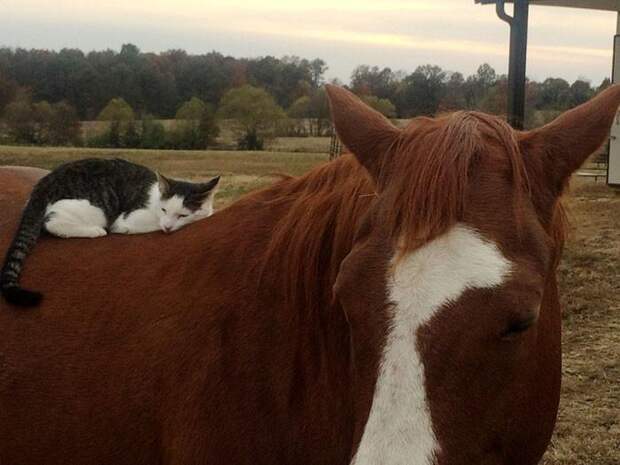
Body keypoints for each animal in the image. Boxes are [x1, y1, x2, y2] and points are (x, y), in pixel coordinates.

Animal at [0, 158, 220, 306]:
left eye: (182, 215)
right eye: (164, 210)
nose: (167, 226)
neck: (155, 199)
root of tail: (45, 183)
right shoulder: (129, 219)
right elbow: (140, 224)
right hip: (96, 209)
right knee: (51, 222)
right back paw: (94, 231)